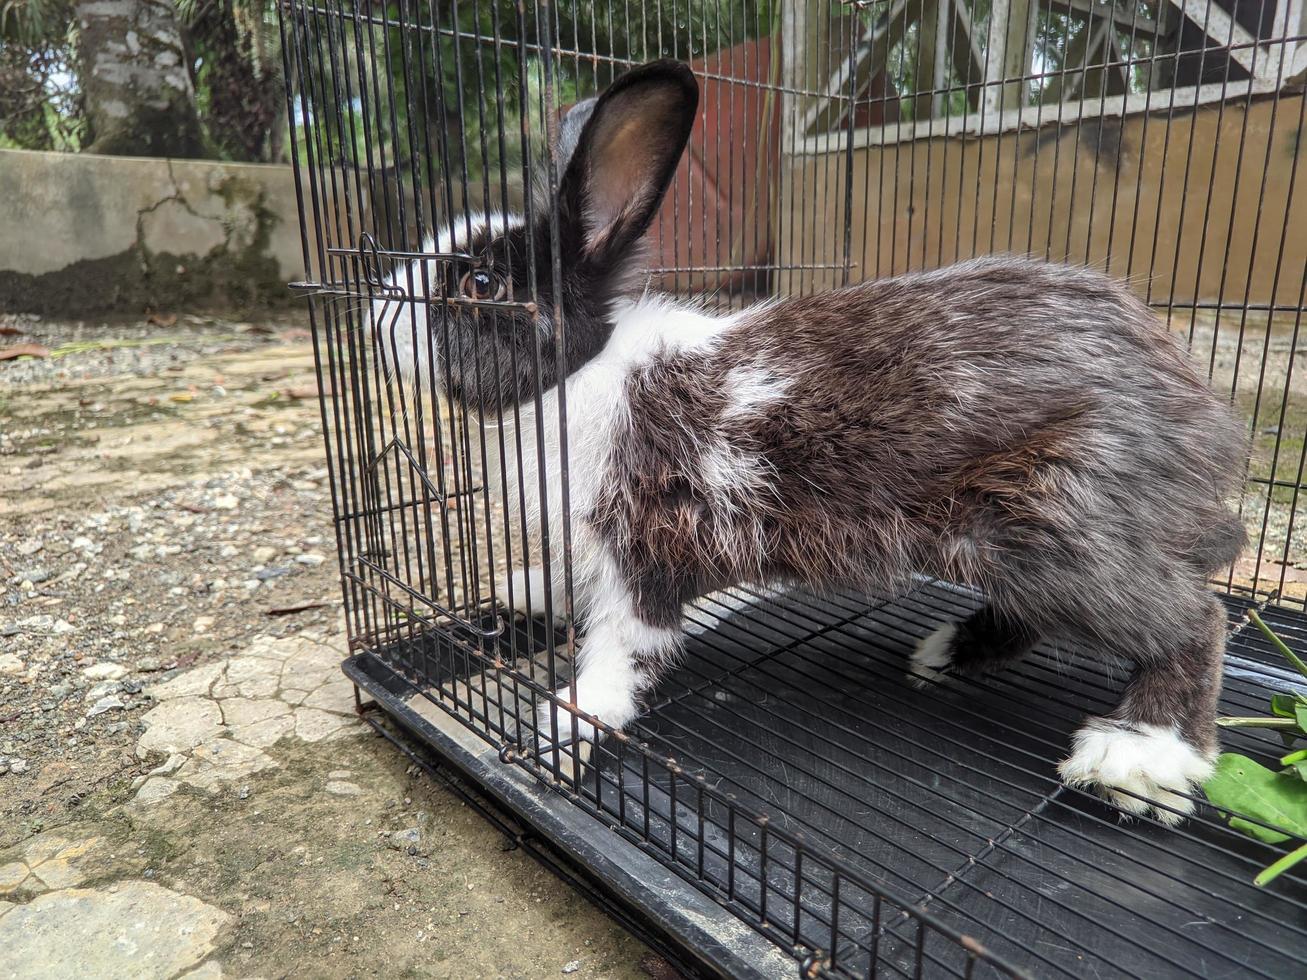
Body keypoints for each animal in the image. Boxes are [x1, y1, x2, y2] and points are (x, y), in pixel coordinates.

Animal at [373, 61, 1249, 825]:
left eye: (480, 283)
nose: (376, 310)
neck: (578, 376)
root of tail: (1194, 409)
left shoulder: (645, 545)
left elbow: (620, 648)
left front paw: (561, 731)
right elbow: (569, 588)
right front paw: (524, 593)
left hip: (1052, 526)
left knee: (1190, 620)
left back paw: (1138, 757)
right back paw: (943, 653)